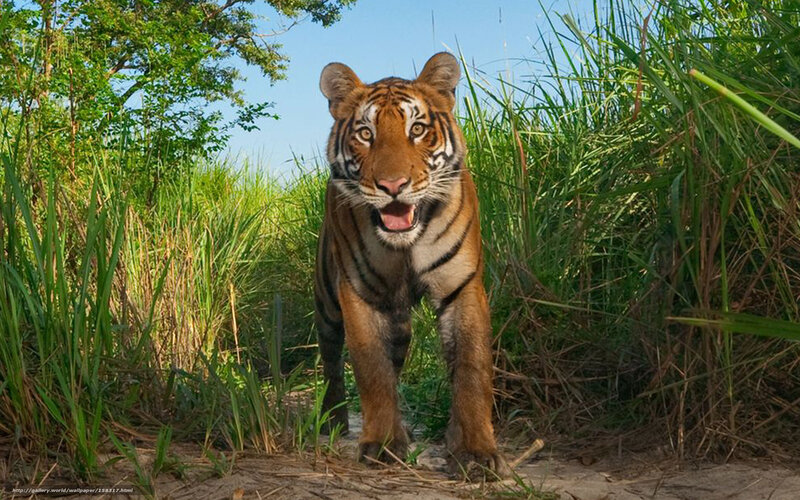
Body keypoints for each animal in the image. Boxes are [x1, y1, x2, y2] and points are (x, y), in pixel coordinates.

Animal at [314, 52, 511, 480]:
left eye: (417, 129)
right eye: (366, 133)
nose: (392, 186)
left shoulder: (462, 287)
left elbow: (471, 370)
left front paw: (475, 451)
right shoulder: (358, 295)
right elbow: (372, 372)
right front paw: (384, 444)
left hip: (400, 324)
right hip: (327, 303)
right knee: (332, 360)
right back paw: (333, 419)